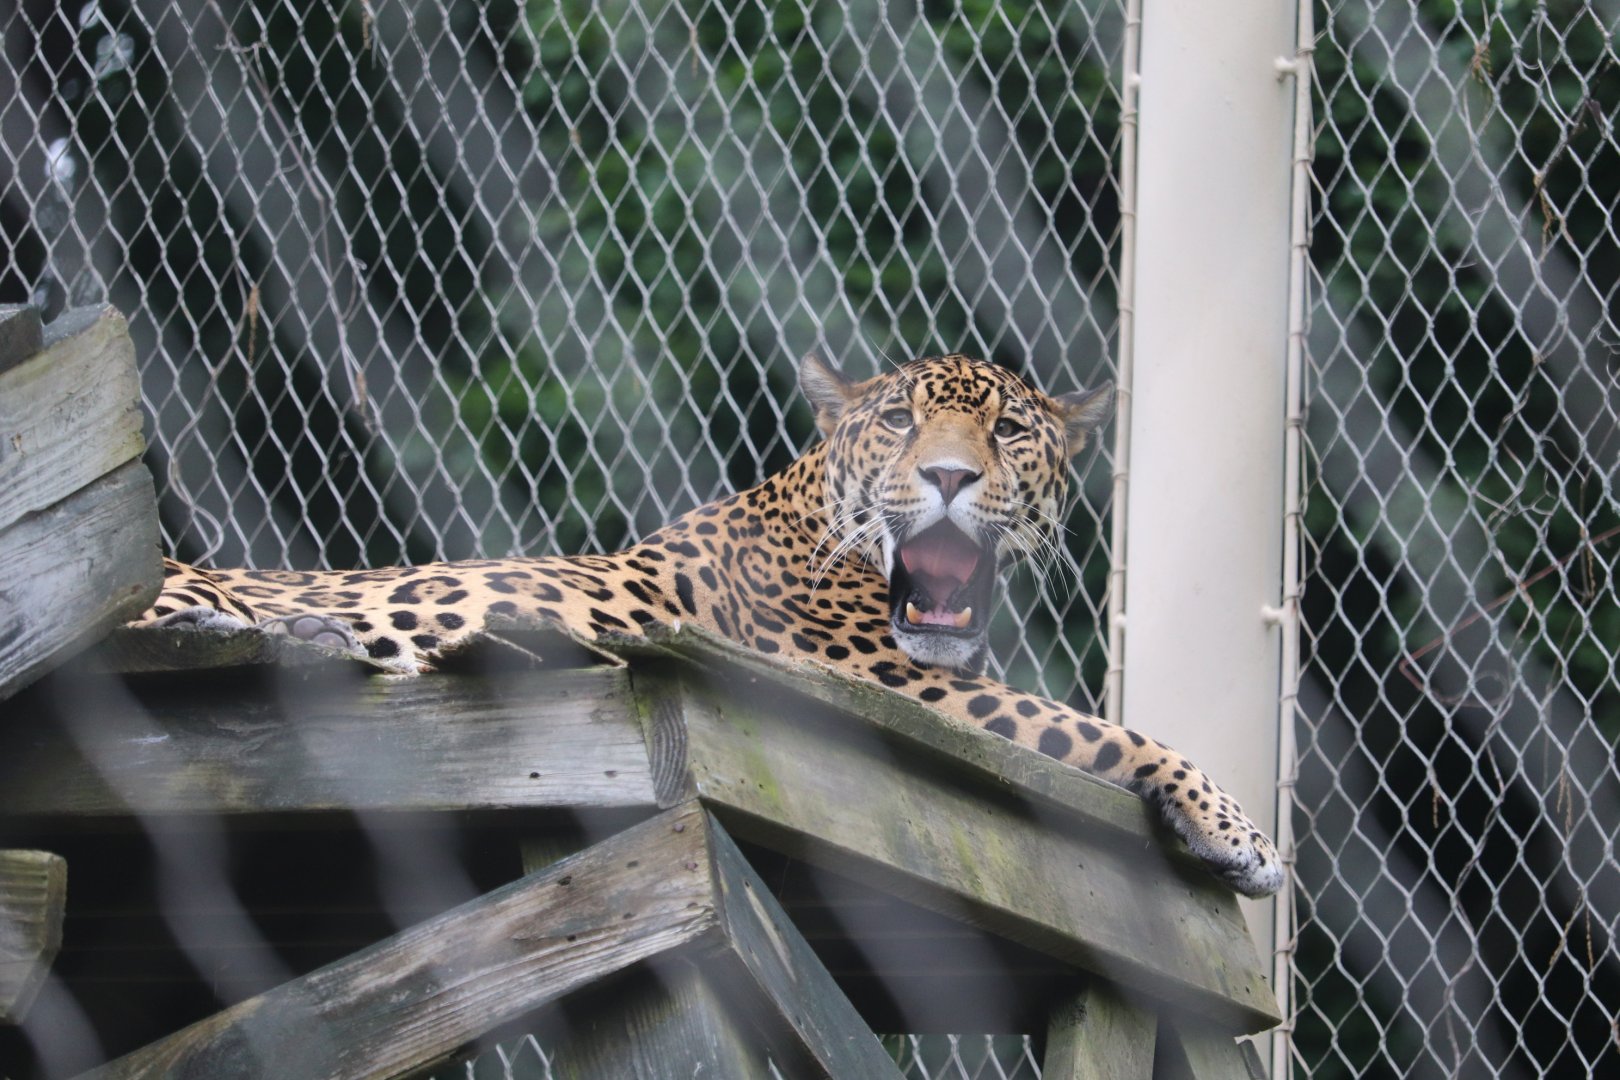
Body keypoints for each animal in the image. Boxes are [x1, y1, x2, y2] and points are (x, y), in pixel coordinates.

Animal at [139, 353, 1284, 897]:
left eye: (1006, 430)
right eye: (900, 420)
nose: (951, 478)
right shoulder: (906, 687)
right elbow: (1109, 730)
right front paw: (1242, 836)